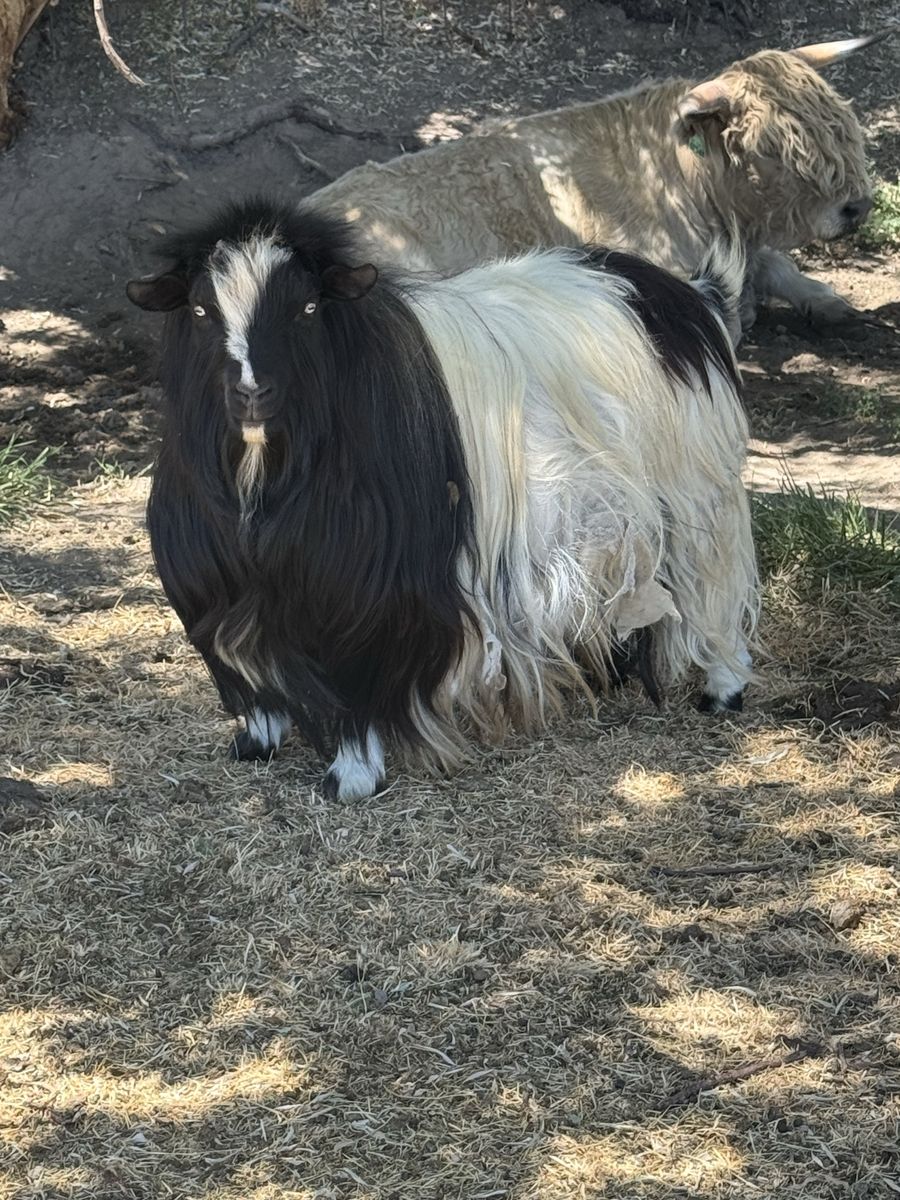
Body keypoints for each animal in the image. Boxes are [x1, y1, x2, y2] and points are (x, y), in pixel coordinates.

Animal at [127, 199, 759, 801]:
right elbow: (246, 668)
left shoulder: (366, 591)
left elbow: (357, 677)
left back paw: (723, 688)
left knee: (715, 586)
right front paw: (256, 741)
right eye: (201, 310)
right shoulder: (222, 583)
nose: (252, 392)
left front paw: (352, 777)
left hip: (698, 495)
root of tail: (689, 297)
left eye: (307, 308)